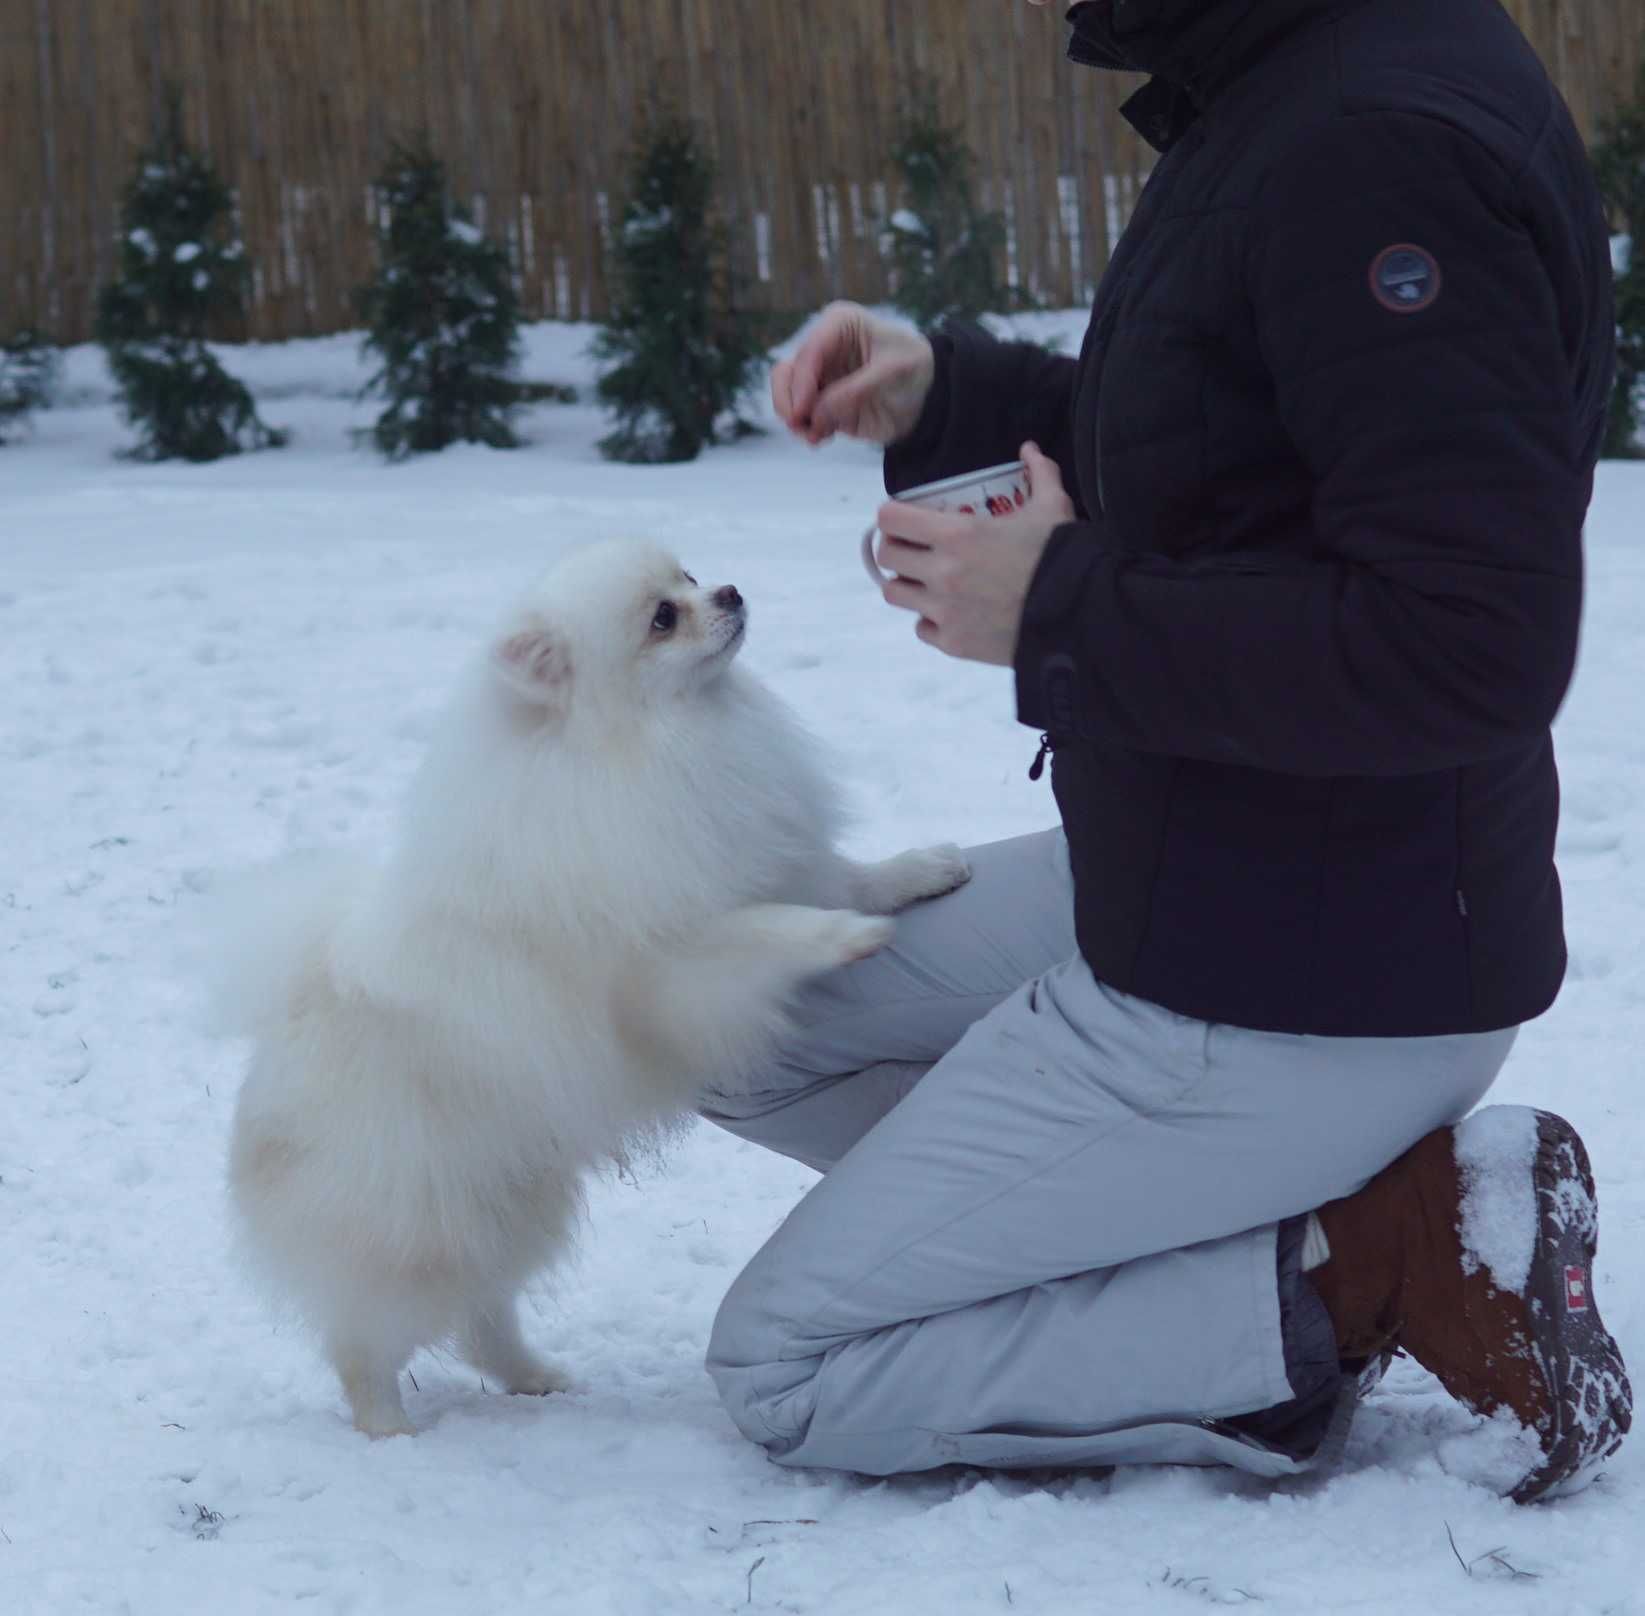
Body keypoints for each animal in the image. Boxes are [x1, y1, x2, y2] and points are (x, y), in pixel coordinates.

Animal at [213, 536, 967, 1434]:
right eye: (662, 619)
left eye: (686, 575)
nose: (730, 591)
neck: (655, 745)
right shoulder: (675, 960)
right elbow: (774, 926)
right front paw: (845, 938)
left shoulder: (764, 853)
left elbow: (847, 877)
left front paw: (923, 871)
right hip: (422, 1225)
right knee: (366, 1338)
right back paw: (388, 1427)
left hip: (506, 1206)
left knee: (481, 1315)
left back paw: (533, 1377)